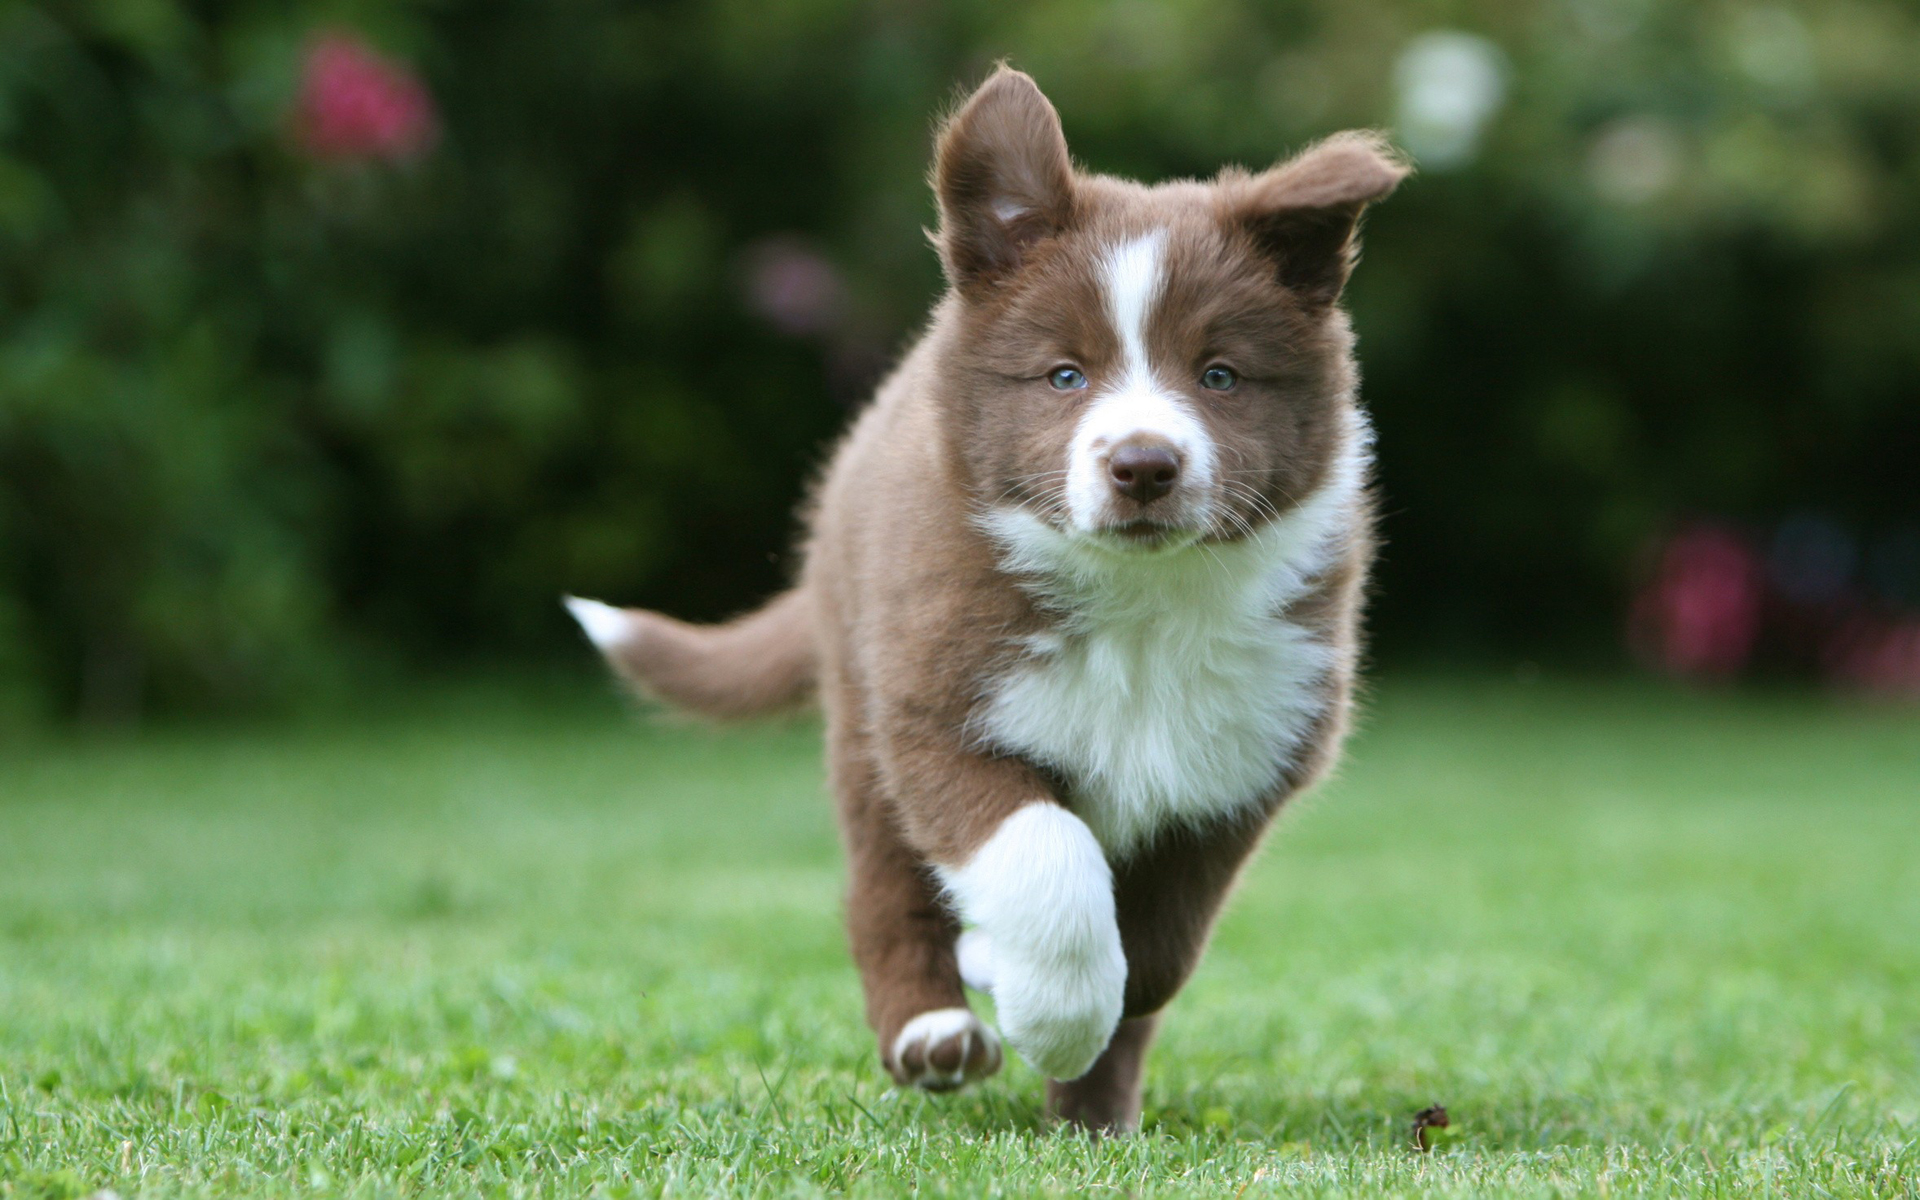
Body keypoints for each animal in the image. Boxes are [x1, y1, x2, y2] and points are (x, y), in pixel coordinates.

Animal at [560, 67, 1405, 1128]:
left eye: (1220, 375)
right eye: (1064, 375)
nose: (1143, 466)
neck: (1140, 604)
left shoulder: (1246, 757)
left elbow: (1157, 951)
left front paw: (1065, 1023)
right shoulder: (937, 706)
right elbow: (1044, 855)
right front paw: (1051, 1008)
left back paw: (1091, 1116)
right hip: (861, 710)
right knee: (883, 889)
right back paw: (933, 1031)